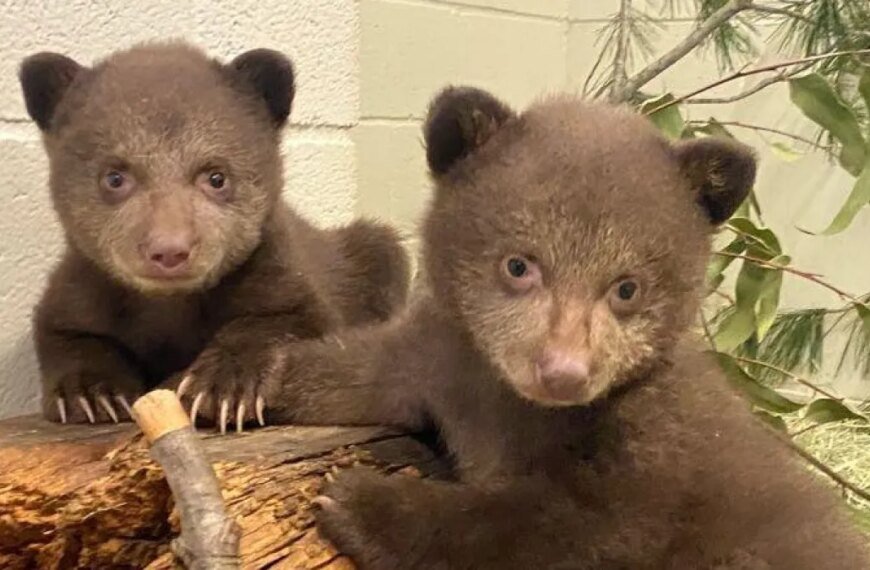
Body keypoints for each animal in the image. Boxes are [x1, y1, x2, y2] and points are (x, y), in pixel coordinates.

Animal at [19, 41, 409, 431]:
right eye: (114, 176)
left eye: (216, 176)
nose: (169, 250)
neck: (169, 305)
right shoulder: (82, 286)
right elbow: (66, 330)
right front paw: (92, 393)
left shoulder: (279, 271)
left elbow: (289, 318)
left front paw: (223, 389)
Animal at [225, 86, 870, 568]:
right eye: (519, 265)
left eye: (626, 288)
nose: (564, 372)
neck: (511, 401)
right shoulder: (445, 356)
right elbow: (362, 366)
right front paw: (238, 384)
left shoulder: (651, 451)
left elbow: (565, 526)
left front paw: (364, 501)